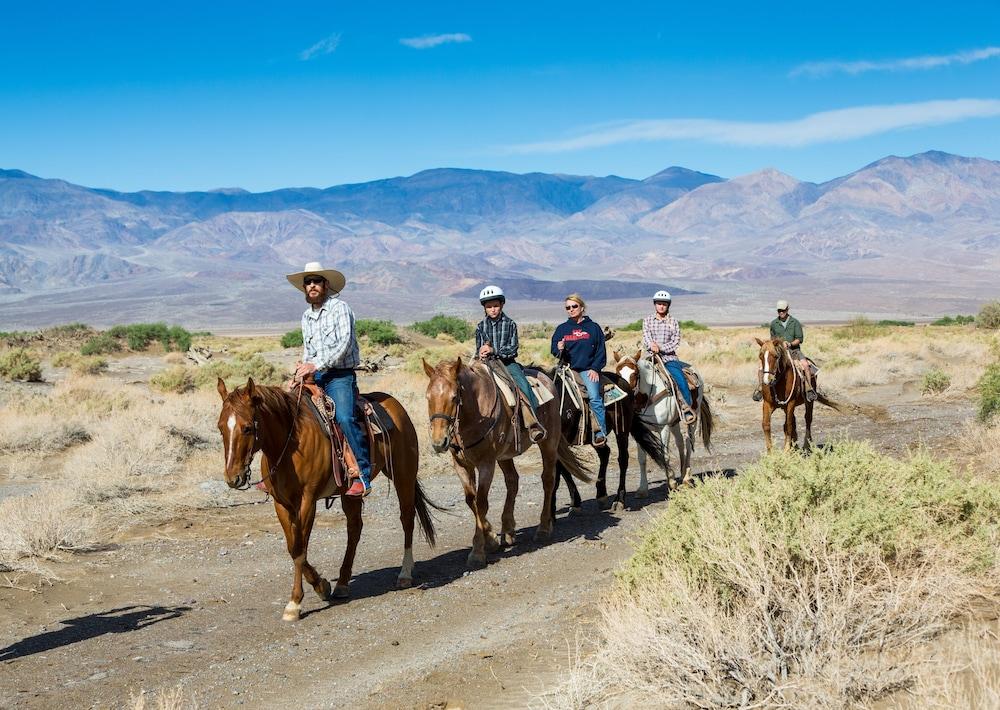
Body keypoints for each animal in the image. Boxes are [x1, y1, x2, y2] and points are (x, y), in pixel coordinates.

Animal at [219, 378, 438, 624]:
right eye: (220, 427)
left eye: (247, 427)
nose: (233, 478)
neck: (289, 445)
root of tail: (395, 405)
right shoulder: (281, 504)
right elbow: (293, 547)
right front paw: (321, 586)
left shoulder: (308, 501)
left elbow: (300, 548)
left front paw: (294, 603)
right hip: (349, 493)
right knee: (354, 529)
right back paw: (342, 584)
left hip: (403, 475)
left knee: (407, 519)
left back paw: (405, 573)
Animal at [420, 358, 588, 572]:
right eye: (428, 397)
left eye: (454, 397)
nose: (438, 442)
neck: (475, 413)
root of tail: (547, 378)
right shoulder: (462, 465)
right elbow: (471, 501)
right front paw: (491, 538)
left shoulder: (487, 463)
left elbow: (481, 502)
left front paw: (478, 552)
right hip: (505, 456)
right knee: (512, 481)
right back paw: (508, 531)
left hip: (548, 443)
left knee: (548, 480)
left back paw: (543, 527)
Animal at [612, 350, 716, 496]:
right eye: (617, 374)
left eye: (635, 374)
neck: (647, 397)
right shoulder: (640, 432)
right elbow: (641, 459)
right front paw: (642, 489)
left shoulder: (664, 428)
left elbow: (665, 455)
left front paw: (671, 483)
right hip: (674, 422)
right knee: (680, 442)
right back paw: (682, 474)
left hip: (692, 418)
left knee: (689, 442)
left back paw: (687, 478)